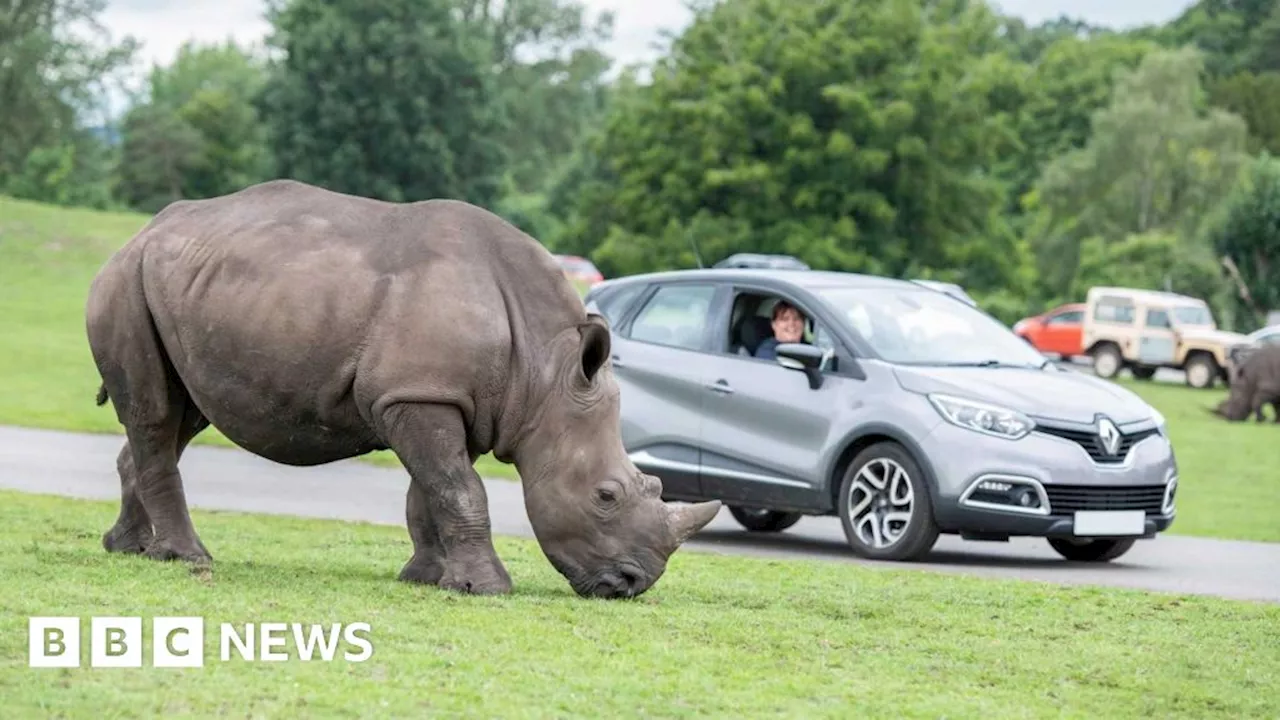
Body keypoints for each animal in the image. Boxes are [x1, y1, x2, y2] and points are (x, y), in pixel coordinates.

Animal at [85, 178, 721, 594]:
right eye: (606, 496)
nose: (631, 584)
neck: (546, 373)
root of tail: (142, 233)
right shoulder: (420, 394)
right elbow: (460, 488)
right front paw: (488, 588)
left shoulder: (444, 396)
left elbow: (432, 490)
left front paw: (428, 579)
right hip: (124, 282)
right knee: (155, 413)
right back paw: (186, 557)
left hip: (184, 289)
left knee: (181, 414)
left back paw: (131, 549)